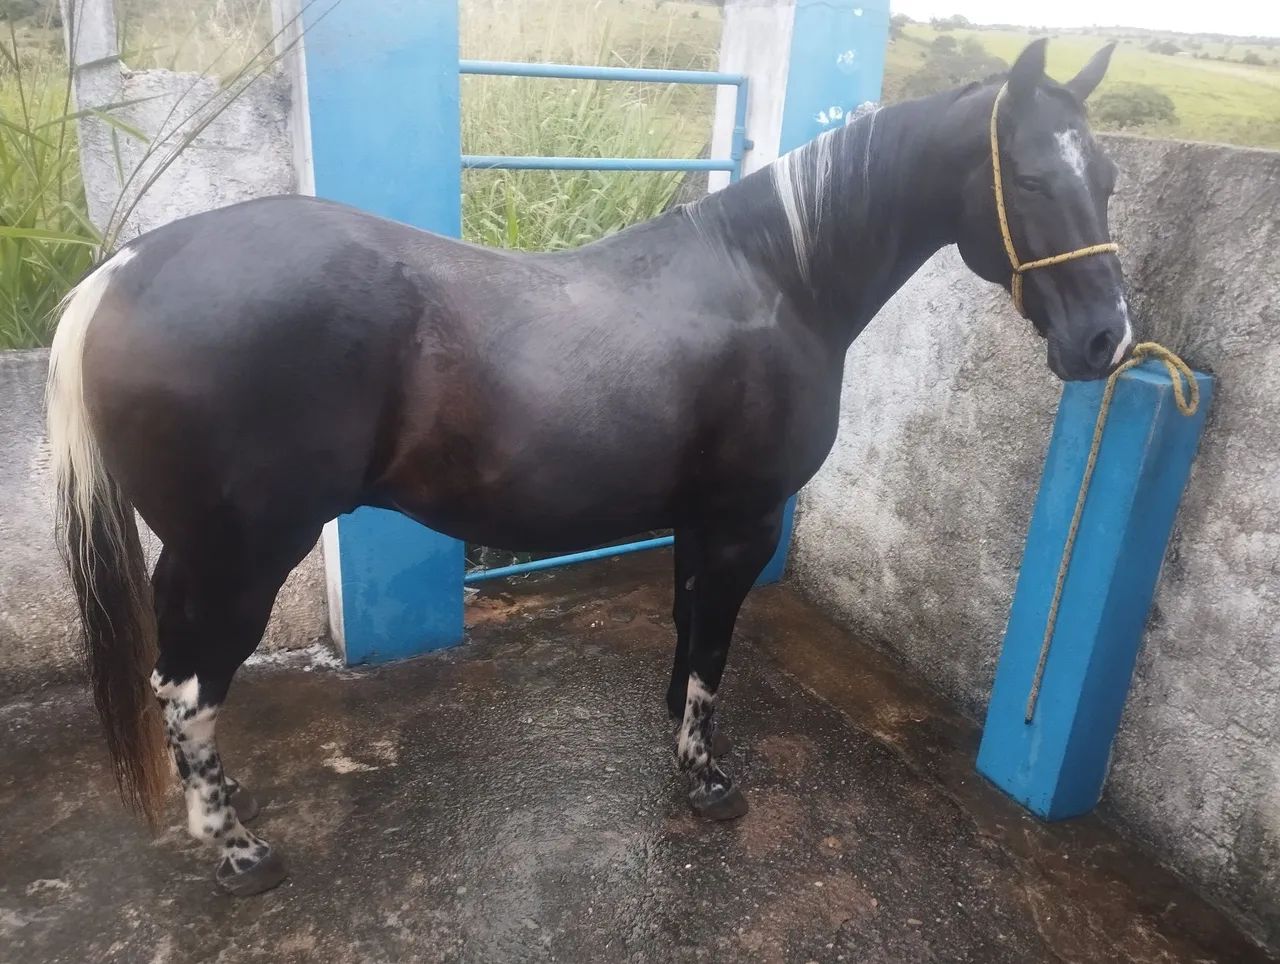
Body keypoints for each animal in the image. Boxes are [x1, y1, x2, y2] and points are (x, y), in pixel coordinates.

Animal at [47, 39, 1129, 896]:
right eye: (1030, 177)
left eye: (1109, 177)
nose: (1104, 339)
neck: (776, 279)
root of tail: (121, 273)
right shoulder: (743, 518)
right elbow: (713, 645)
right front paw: (705, 780)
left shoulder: (699, 517)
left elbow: (689, 629)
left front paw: (681, 738)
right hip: (246, 555)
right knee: (191, 688)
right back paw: (236, 850)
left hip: (193, 553)